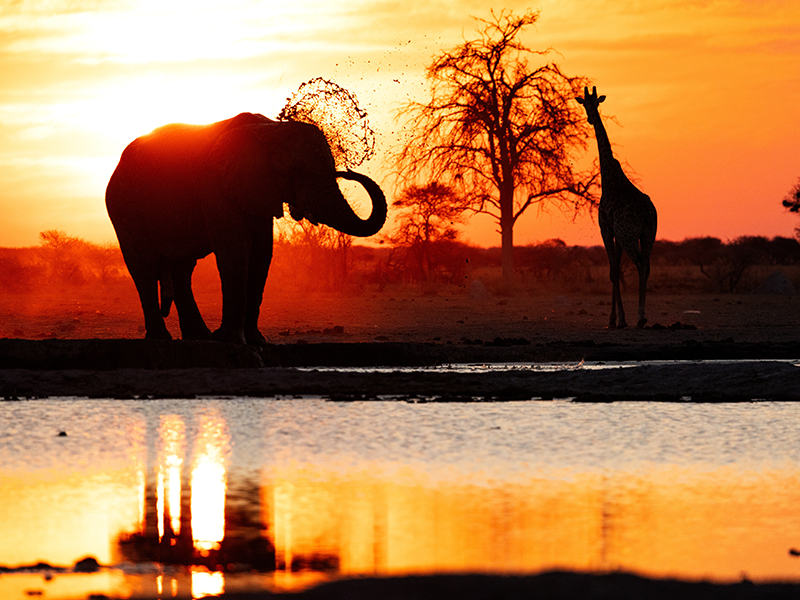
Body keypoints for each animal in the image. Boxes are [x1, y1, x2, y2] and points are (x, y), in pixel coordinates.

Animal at [105, 112, 387, 345]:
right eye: (294, 170)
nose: (348, 172)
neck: (270, 129)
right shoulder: (215, 184)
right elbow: (236, 248)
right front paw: (234, 341)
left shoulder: (257, 189)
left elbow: (262, 252)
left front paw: (255, 341)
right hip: (123, 207)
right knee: (143, 266)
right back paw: (162, 339)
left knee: (182, 268)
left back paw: (199, 337)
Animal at [576, 86, 657, 329]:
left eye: (590, 104)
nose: (589, 118)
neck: (609, 176)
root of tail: (647, 213)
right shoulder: (616, 232)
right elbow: (617, 269)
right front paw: (615, 319)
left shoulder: (606, 227)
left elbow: (612, 272)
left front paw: (617, 320)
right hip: (648, 234)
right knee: (647, 264)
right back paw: (641, 316)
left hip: (628, 233)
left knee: (640, 262)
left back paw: (640, 317)